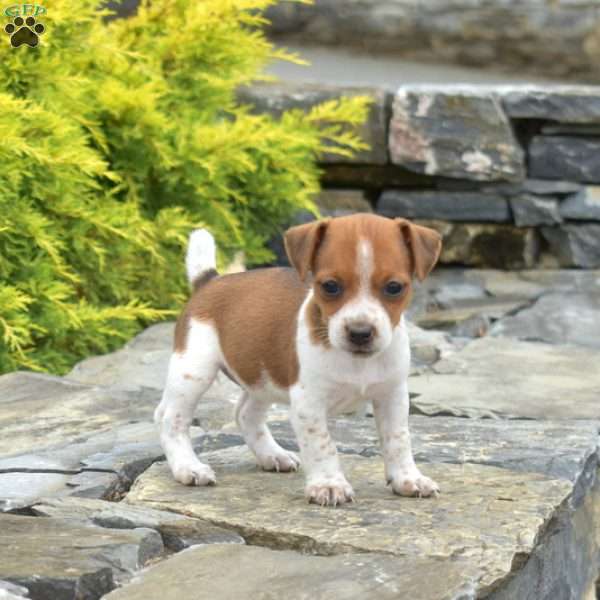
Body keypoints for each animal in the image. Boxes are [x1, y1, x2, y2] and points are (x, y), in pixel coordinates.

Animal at [157, 213, 442, 504]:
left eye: (394, 287)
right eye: (330, 286)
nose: (360, 333)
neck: (357, 362)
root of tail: (210, 280)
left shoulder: (392, 396)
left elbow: (398, 440)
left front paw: (408, 478)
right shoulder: (309, 403)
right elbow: (323, 445)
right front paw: (329, 484)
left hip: (262, 376)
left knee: (245, 414)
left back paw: (272, 455)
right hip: (194, 372)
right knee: (170, 418)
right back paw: (188, 467)